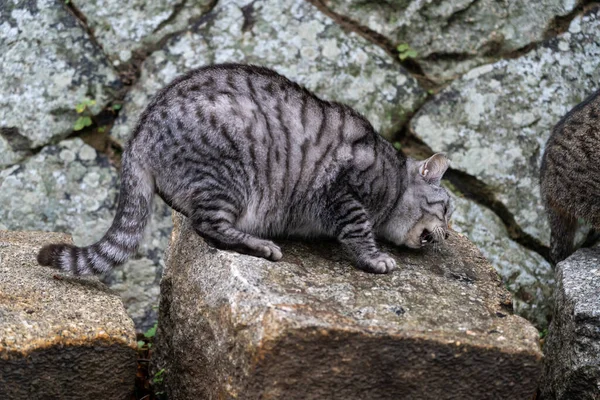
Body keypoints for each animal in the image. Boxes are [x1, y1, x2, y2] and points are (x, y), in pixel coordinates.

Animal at [37, 63, 452, 276]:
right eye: (447, 208)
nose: (448, 234)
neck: (394, 179)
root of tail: (137, 134)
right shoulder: (344, 190)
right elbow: (359, 228)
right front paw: (374, 256)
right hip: (230, 172)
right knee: (208, 225)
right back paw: (260, 245)